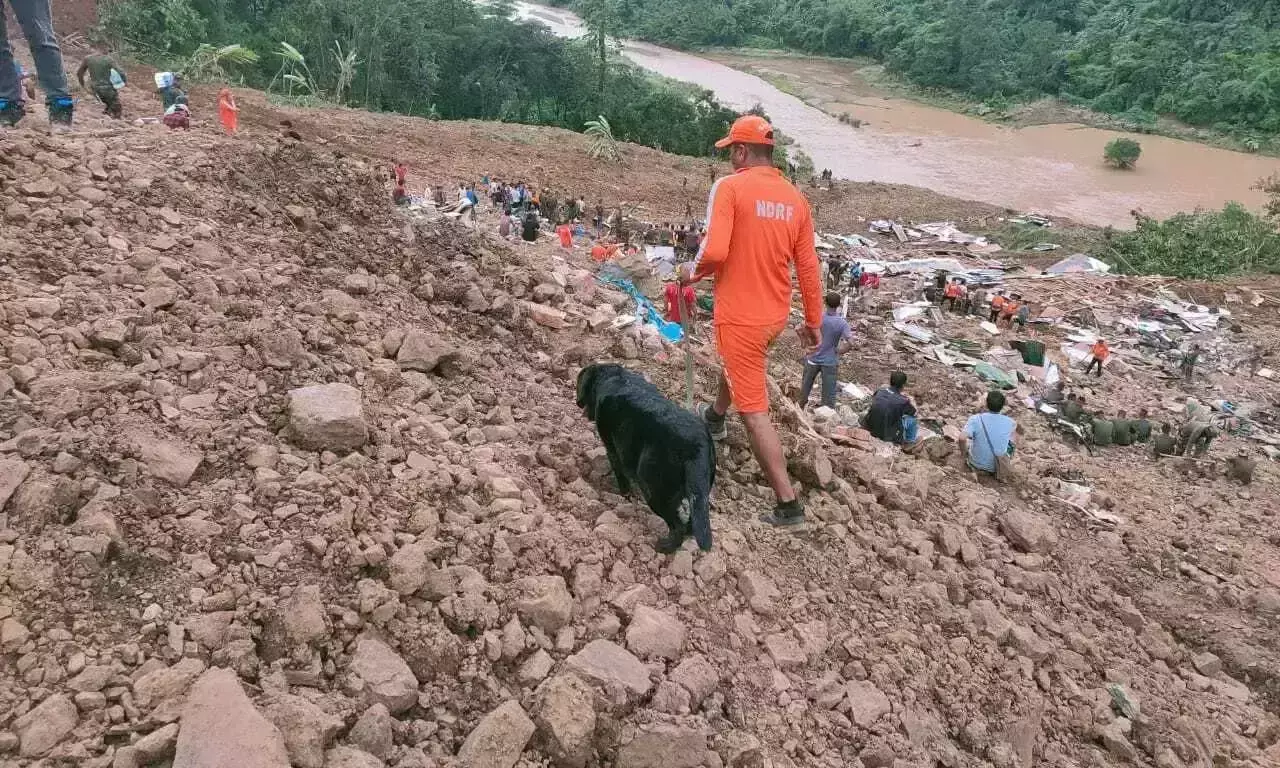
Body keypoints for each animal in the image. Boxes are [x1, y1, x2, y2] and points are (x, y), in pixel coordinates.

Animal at [576, 363, 716, 547]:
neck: (613, 376)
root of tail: (697, 445)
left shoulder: (612, 447)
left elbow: (620, 472)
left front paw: (626, 494)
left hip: (653, 488)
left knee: (677, 526)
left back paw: (663, 546)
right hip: (699, 493)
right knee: (691, 523)